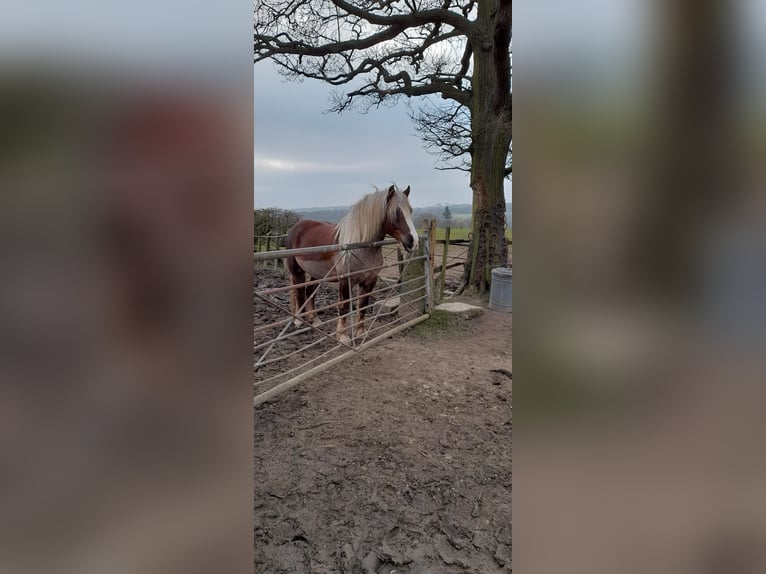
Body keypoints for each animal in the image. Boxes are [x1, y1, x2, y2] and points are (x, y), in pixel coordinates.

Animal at [286, 187, 420, 344]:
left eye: (410, 210)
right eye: (396, 213)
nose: (414, 241)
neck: (359, 248)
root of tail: (296, 226)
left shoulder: (370, 281)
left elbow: (362, 305)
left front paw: (360, 332)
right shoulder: (346, 281)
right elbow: (344, 307)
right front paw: (343, 336)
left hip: (317, 274)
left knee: (310, 291)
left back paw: (315, 320)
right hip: (297, 271)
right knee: (299, 292)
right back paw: (299, 321)